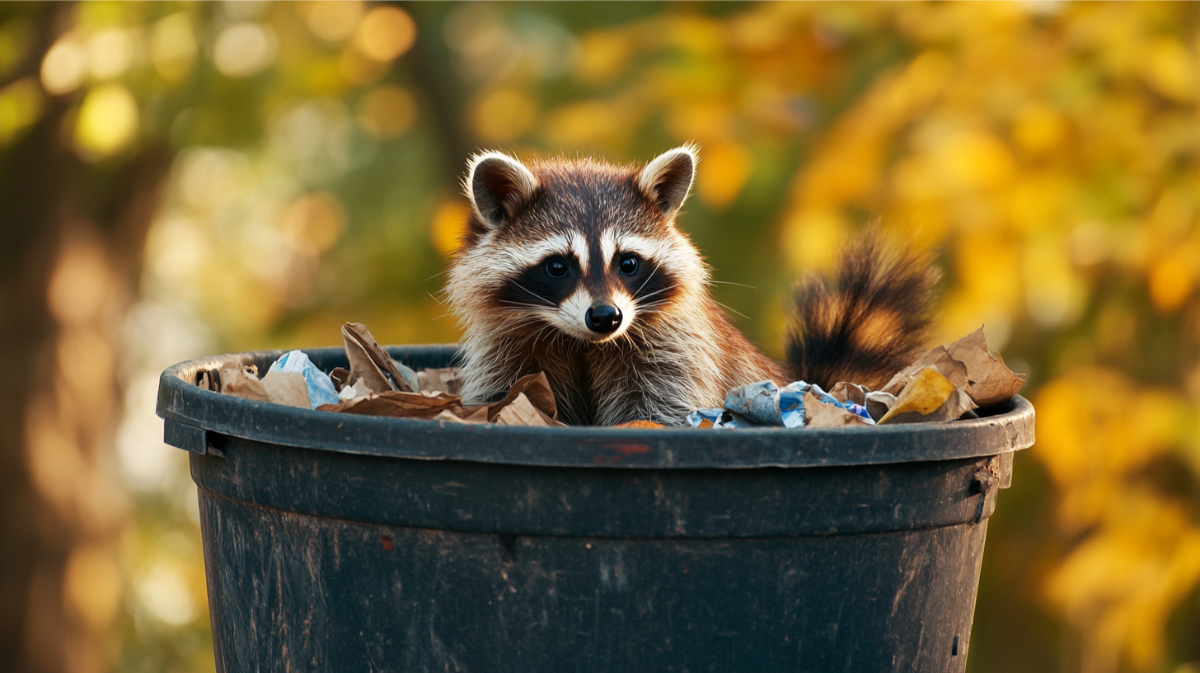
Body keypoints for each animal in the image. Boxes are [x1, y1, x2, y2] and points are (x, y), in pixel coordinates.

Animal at [444, 145, 936, 424]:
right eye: (557, 267)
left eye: (628, 263)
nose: (605, 317)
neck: (582, 341)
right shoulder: (508, 350)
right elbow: (498, 395)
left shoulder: (675, 348)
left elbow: (659, 408)